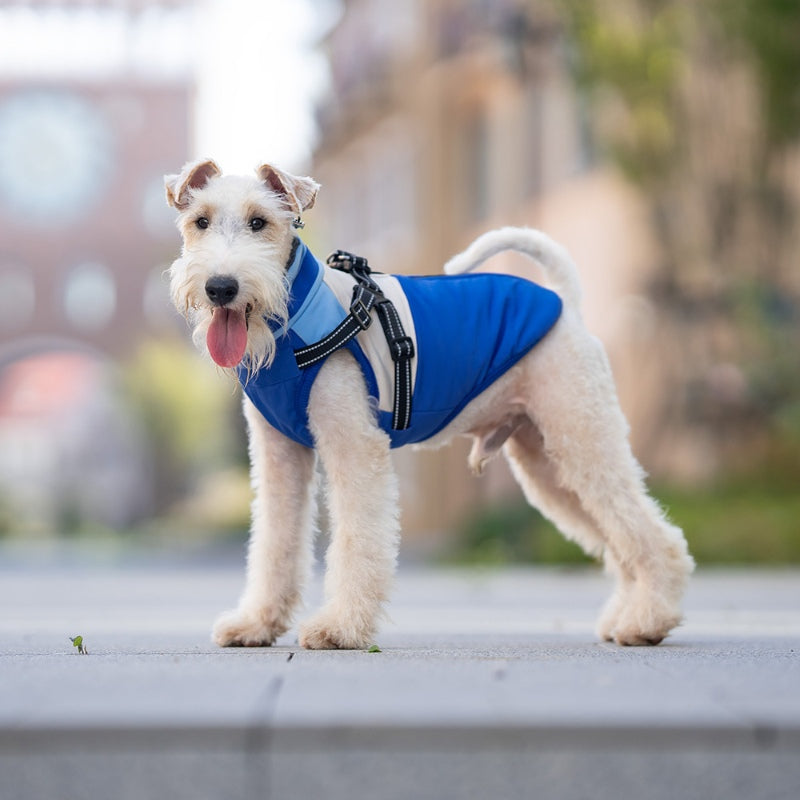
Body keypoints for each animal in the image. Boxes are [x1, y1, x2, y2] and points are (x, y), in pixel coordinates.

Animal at [164, 158, 692, 648]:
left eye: (259, 221)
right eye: (200, 221)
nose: (221, 287)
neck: (292, 323)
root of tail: (564, 304)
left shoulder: (354, 448)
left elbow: (357, 539)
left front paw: (339, 628)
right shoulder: (280, 459)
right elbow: (274, 543)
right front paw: (255, 624)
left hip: (582, 440)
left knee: (654, 536)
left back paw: (647, 621)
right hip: (549, 466)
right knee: (618, 542)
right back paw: (626, 617)